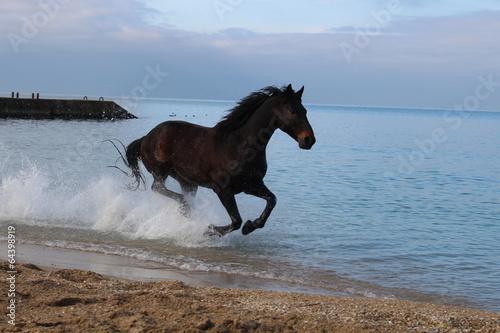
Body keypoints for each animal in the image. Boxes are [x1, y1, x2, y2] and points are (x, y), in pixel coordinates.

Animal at [120, 85, 314, 236]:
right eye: (292, 110)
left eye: (305, 111)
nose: (309, 140)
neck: (241, 146)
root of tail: (146, 137)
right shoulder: (222, 189)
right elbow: (236, 220)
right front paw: (209, 230)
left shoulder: (250, 185)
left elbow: (272, 200)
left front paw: (251, 226)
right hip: (161, 171)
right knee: (158, 188)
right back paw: (185, 208)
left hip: (187, 181)